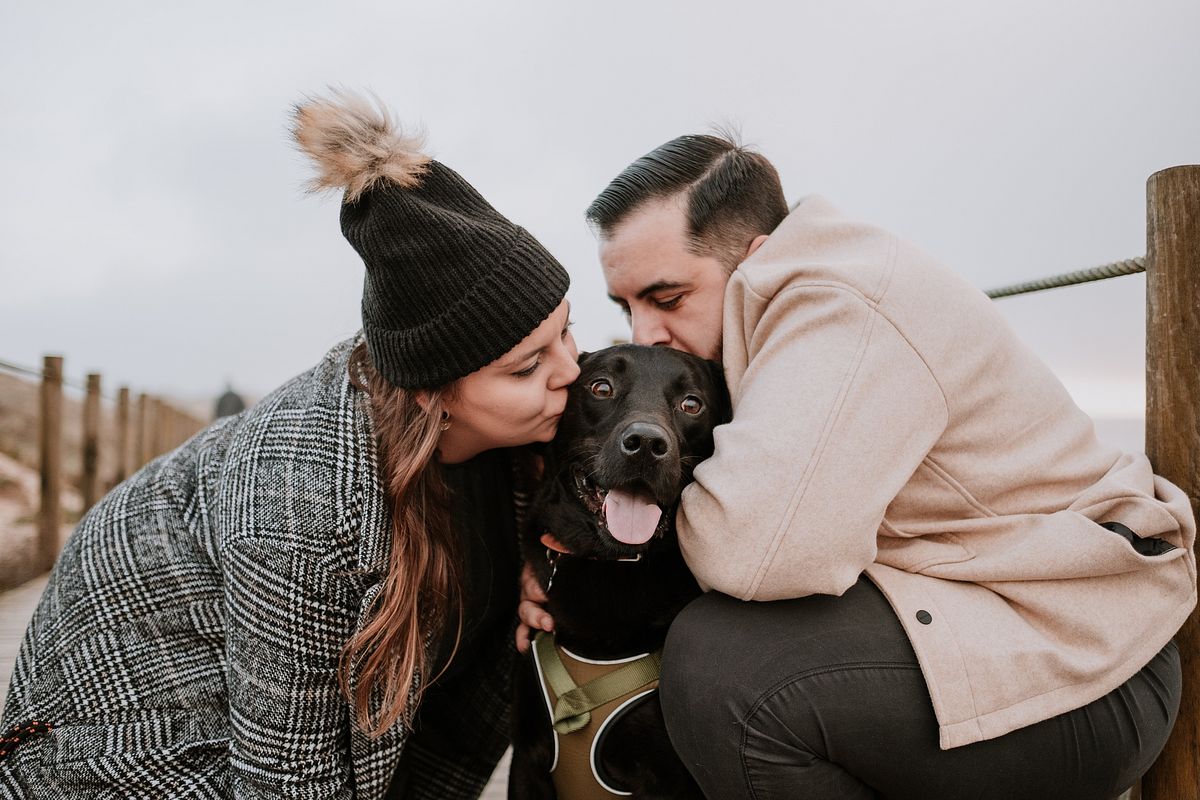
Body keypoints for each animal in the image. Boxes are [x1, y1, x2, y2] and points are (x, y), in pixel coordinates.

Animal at [508, 345, 729, 800]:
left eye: (692, 404)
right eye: (601, 388)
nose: (645, 444)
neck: (615, 564)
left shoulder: (668, 782)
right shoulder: (527, 761)